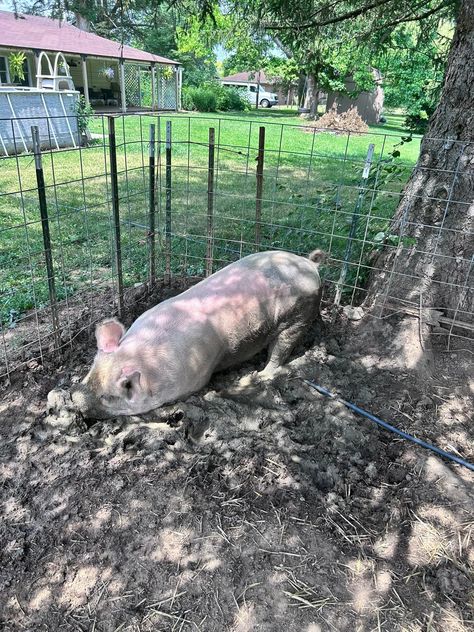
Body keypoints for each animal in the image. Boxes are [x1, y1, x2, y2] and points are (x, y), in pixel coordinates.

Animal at [70, 248, 324, 420]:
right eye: (89, 375)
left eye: (107, 397)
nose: (75, 397)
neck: (144, 356)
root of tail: (309, 264)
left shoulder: (195, 376)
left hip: (299, 314)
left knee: (281, 349)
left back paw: (257, 376)